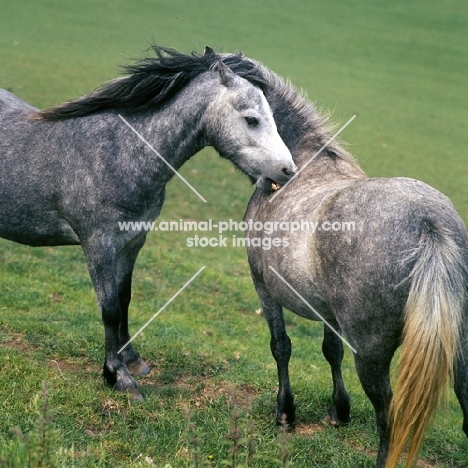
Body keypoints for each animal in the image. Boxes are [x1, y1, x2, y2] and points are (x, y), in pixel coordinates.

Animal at [0, 44, 296, 402]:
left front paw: (131, 359)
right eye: (251, 119)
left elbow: (124, 297)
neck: (119, 153)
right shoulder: (98, 245)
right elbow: (110, 308)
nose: (288, 170)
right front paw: (118, 376)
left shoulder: (132, 242)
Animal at [207, 49, 468, 466]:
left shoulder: (265, 289)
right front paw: (339, 412)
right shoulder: (328, 311)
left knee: (387, 415)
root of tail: (430, 226)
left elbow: (281, 347)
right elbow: (331, 351)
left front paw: (285, 413)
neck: (305, 162)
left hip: (372, 354)